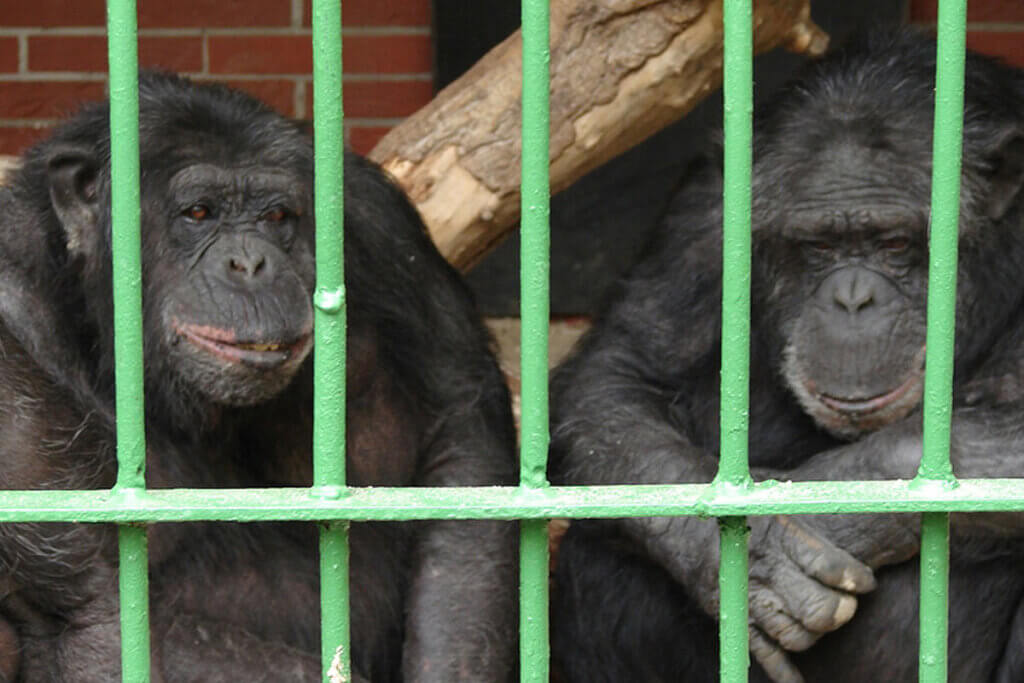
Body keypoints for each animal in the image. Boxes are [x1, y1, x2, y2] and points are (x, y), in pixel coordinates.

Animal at [0, 72, 516, 679]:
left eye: (276, 218)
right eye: (199, 213)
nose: (249, 264)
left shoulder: (377, 221)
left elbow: (459, 427)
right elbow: (96, 609)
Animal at [552, 28, 1024, 683]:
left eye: (896, 243)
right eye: (818, 246)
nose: (852, 299)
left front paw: (841, 498)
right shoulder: (705, 214)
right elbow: (618, 376)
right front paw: (749, 549)